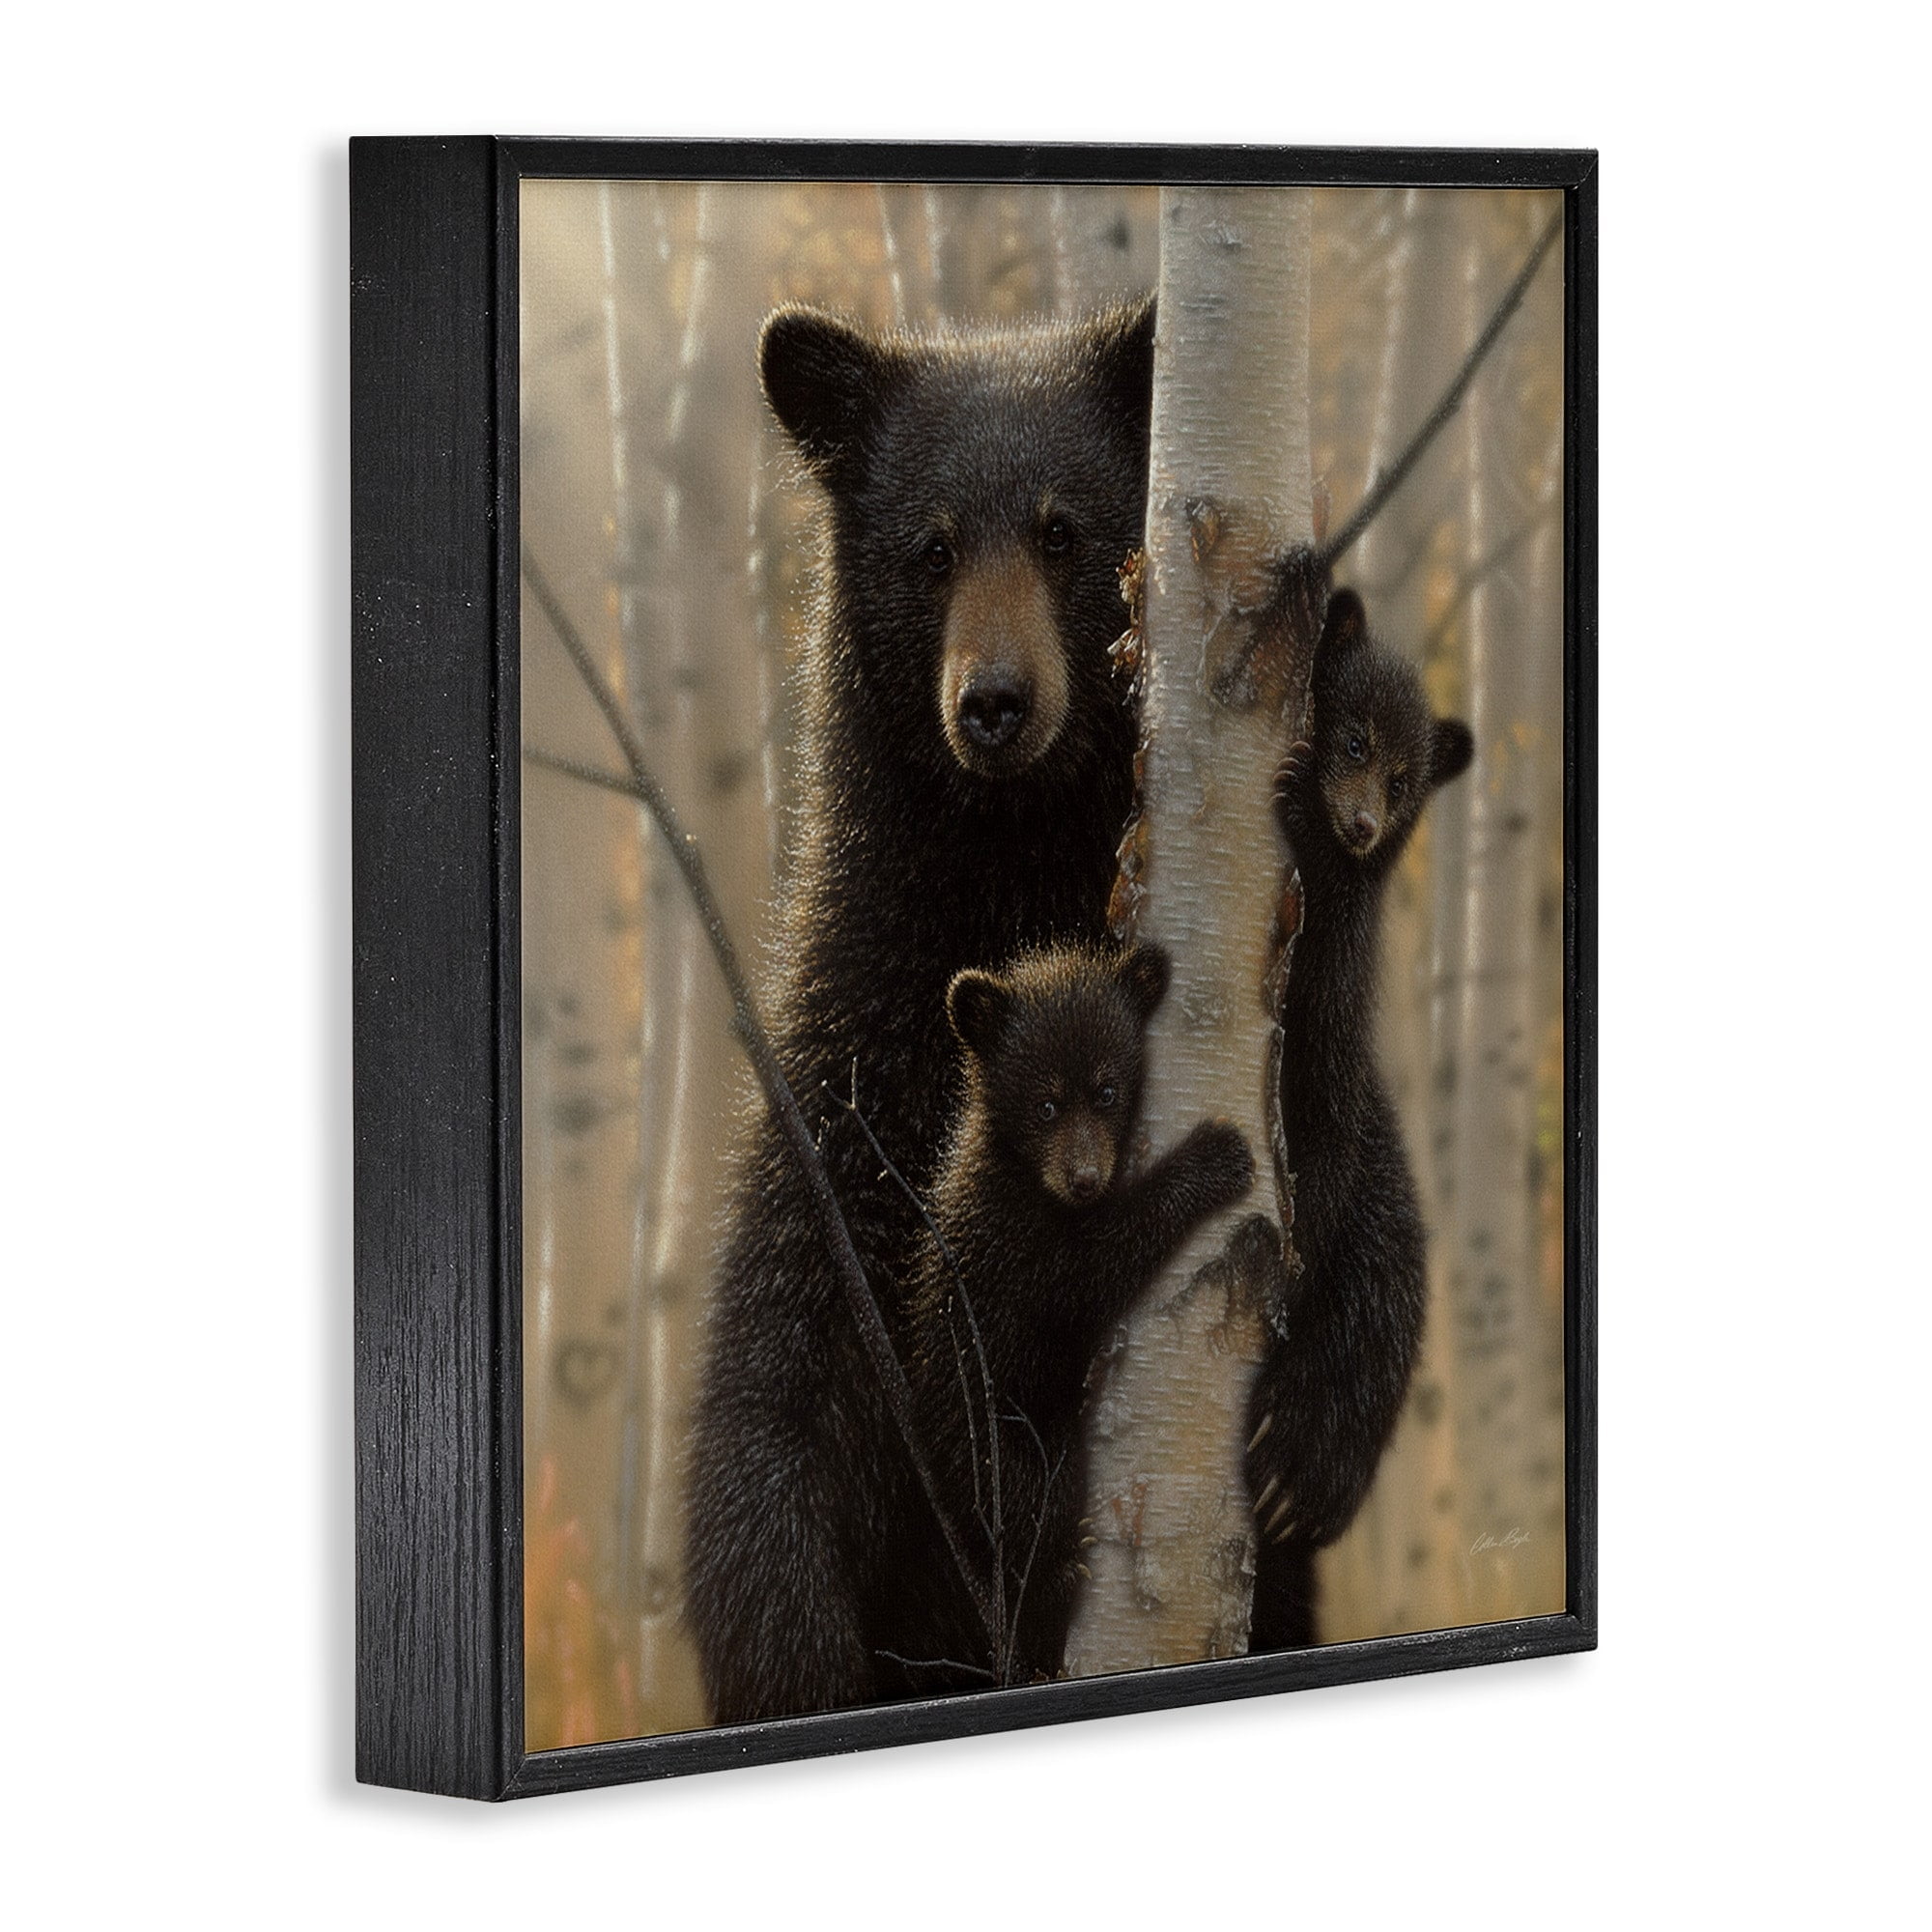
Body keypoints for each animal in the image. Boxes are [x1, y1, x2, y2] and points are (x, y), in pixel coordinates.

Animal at [684, 297, 1160, 1725]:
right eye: (929, 548)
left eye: (1063, 529)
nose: (993, 702)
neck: (1004, 881)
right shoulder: (846, 1112)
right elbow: (776, 1425)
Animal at [882, 943, 1257, 1695]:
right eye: (1046, 1102)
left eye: (1107, 1091)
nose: (1083, 1177)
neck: (1029, 1179)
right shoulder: (1015, 1246)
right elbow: (1092, 1269)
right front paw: (1213, 1158)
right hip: (992, 1438)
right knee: (1027, 1503)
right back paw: (1055, 1580)